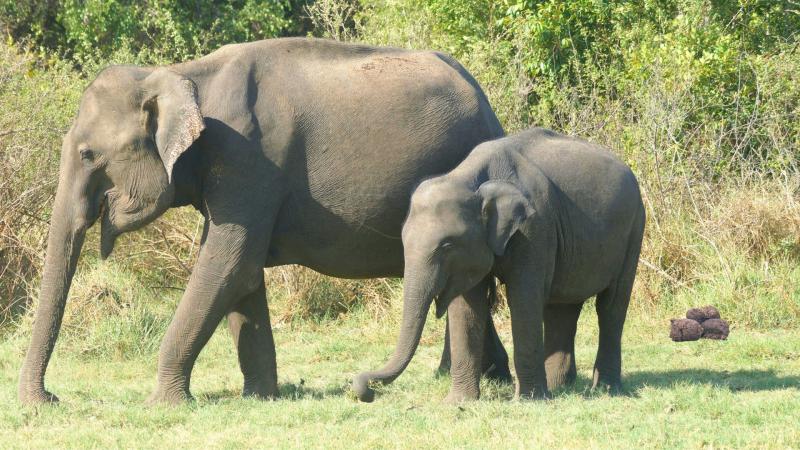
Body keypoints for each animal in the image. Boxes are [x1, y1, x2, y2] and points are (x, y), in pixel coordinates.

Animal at [17, 37, 516, 405]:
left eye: (87, 154)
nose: (49, 399)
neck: (181, 73)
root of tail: (488, 105)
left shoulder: (248, 161)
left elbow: (229, 263)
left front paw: (163, 403)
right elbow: (242, 273)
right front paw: (260, 396)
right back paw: (487, 379)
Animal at [354, 127, 645, 402]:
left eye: (447, 245)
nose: (366, 391)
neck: (470, 178)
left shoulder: (535, 227)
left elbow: (523, 298)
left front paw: (528, 400)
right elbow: (466, 306)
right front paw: (458, 402)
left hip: (634, 229)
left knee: (611, 306)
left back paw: (604, 389)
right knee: (562, 307)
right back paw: (558, 388)